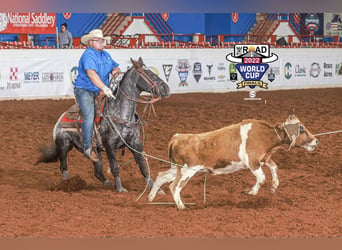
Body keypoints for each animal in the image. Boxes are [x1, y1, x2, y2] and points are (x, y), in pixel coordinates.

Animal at [35, 57, 170, 192]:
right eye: (148, 74)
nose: (167, 89)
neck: (120, 113)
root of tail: (60, 118)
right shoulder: (109, 144)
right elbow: (115, 166)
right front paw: (120, 188)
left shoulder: (135, 143)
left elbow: (143, 166)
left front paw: (156, 189)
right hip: (64, 145)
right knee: (63, 167)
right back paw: (67, 183)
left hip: (96, 152)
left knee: (97, 171)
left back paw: (107, 183)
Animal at [148, 114, 320, 210]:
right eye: (302, 128)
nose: (316, 141)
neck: (264, 135)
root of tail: (177, 137)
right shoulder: (253, 162)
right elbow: (262, 178)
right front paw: (250, 192)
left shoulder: (264, 159)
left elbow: (274, 167)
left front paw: (273, 187)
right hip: (187, 170)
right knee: (174, 186)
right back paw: (182, 207)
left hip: (176, 168)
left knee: (161, 176)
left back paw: (149, 198)